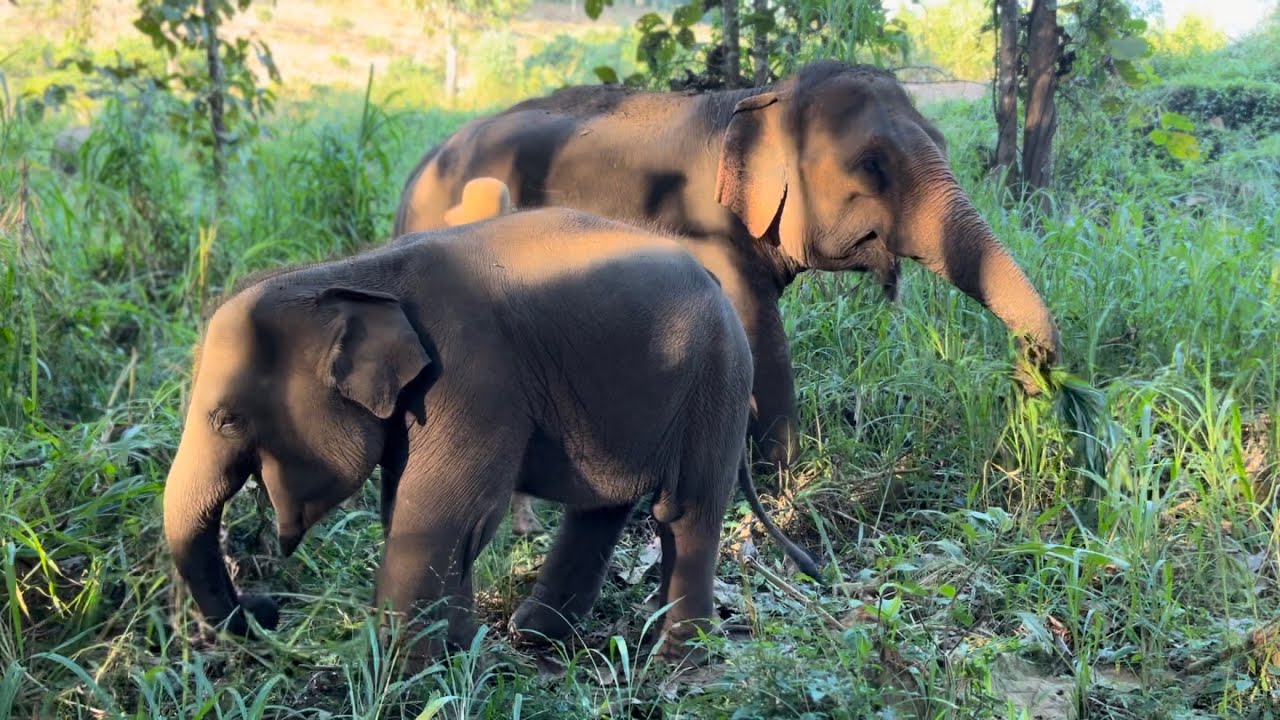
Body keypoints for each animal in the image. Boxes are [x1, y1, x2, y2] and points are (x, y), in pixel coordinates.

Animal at [162, 203, 822, 667]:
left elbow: (439, 517)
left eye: (226, 419)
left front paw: (392, 677)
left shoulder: (473, 380)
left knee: (684, 510)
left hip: (717, 378)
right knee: (601, 508)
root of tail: (712, 278)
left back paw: (678, 660)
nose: (266, 608)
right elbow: (416, 511)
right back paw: (535, 636)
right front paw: (457, 653)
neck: (354, 272)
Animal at [393, 60, 1063, 484]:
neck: (761, 97)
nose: (1031, 378)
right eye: (871, 166)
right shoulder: (708, 234)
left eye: (943, 144)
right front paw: (788, 479)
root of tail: (414, 177)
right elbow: (763, 341)